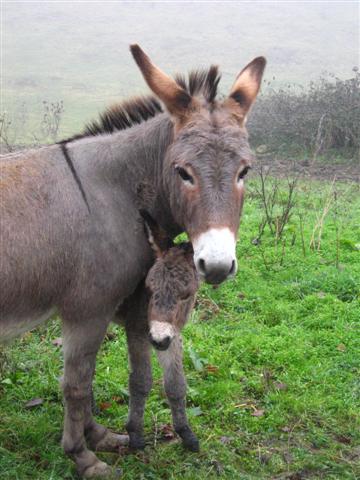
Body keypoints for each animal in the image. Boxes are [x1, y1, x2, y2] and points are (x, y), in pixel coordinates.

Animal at [125, 210, 201, 450]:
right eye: (149, 288)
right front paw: (135, 434)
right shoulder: (137, 331)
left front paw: (186, 433)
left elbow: (176, 384)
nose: (158, 340)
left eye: (186, 295)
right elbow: (140, 381)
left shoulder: (172, 335)